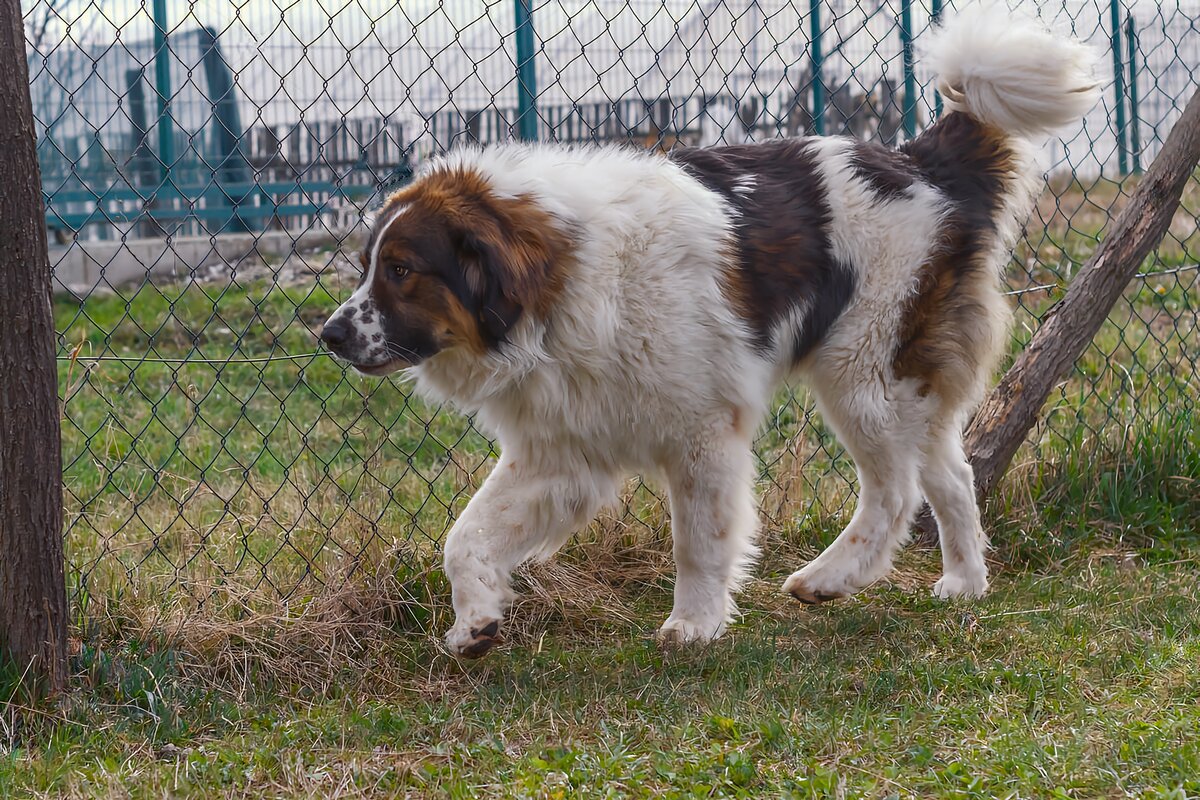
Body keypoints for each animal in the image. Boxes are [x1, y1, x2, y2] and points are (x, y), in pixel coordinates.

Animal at [316, 6, 1099, 657]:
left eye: (402, 270)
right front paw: (474, 621)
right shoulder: (559, 452)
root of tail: (915, 160)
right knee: (951, 474)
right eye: (368, 265)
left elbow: (696, 541)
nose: (328, 335)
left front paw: (694, 622)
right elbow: (465, 536)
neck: (565, 288)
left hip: (862, 374)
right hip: (903, 381)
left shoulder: (699, 433)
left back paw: (830, 576)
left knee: (896, 491)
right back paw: (965, 582)